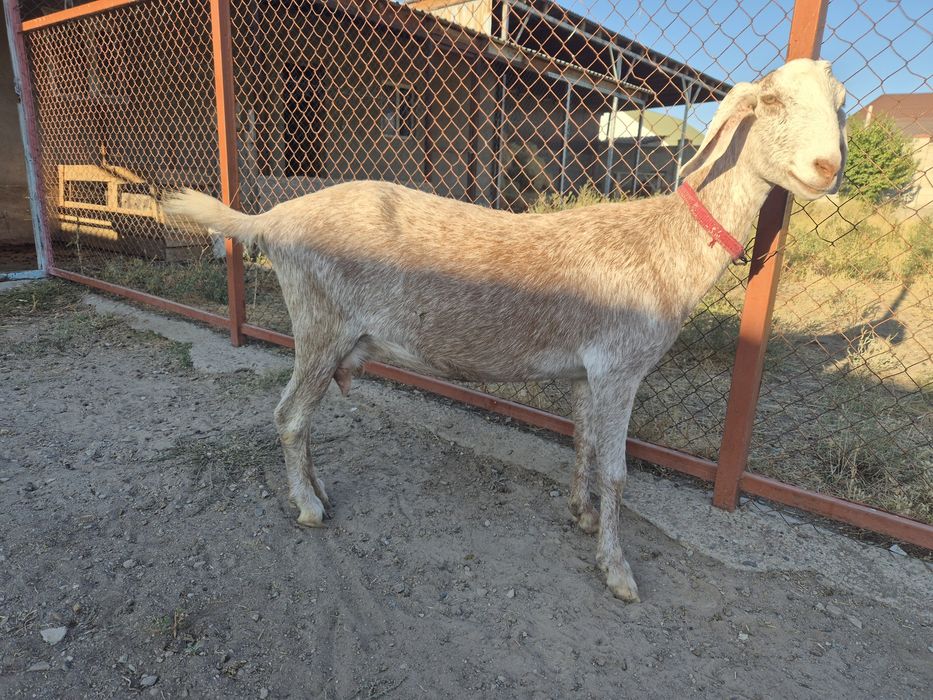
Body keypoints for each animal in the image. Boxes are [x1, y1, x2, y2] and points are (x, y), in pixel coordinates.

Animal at [165, 58, 848, 602]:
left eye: (840, 101)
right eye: (772, 101)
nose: (828, 166)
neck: (663, 243)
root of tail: (270, 218)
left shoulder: (586, 371)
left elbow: (582, 444)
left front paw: (580, 514)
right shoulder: (621, 368)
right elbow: (617, 473)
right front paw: (618, 571)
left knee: (302, 418)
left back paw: (319, 488)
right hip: (319, 324)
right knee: (288, 415)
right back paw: (308, 507)